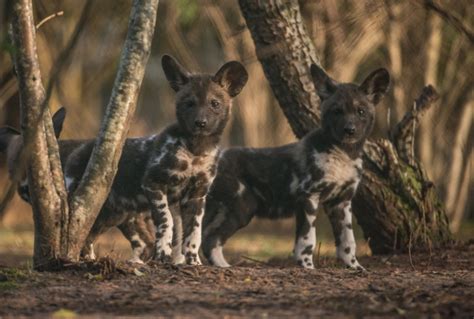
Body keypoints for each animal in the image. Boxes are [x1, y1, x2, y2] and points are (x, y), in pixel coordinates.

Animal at [65, 55, 248, 264]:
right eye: (189, 103)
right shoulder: (153, 184)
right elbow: (166, 222)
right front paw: (163, 255)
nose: (200, 123)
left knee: (88, 239)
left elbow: (194, 233)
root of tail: (79, 149)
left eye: (214, 103)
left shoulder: (197, 196)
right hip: (91, 209)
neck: (195, 150)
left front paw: (193, 261)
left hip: (112, 214)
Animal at [202, 64, 390, 270]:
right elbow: (307, 241)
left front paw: (354, 267)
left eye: (361, 111)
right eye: (337, 111)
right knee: (207, 238)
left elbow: (348, 241)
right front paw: (307, 267)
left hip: (238, 211)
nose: (350, 130)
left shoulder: (341, 202)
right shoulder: (308, 198)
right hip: (236, 209)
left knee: (209, 239)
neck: (343, 154)